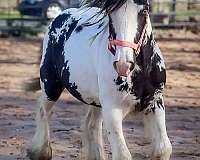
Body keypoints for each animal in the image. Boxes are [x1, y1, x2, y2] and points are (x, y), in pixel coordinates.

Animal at [27, 0, 173, 159]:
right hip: (51, 86)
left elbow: (163, 149)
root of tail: (59, 16)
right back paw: (39, 152)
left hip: (96, 100)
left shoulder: (155, 103)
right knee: (43, 111)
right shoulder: (112, 109)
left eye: (144, 11)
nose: (123, 65)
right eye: (109, 13)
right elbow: (123, 154)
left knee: (91, 125)